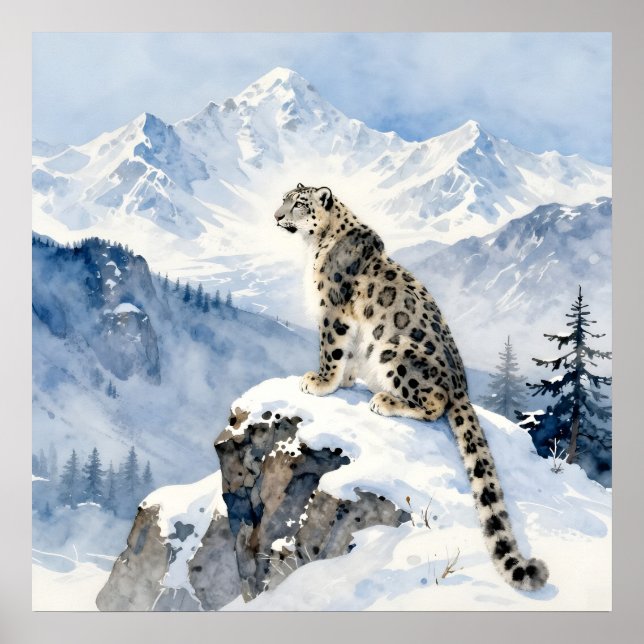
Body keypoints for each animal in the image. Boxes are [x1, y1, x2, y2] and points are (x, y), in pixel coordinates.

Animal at [274, 183, 549, 591]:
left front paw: (320, 381)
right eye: (284, 199)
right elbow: (347, 355)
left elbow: (331, 349)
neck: (315, 245)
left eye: (299, 203)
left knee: (434, 403)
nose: (276, 216)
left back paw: (385, 401)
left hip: (396, 352)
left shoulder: (333, 311)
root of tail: (462, 385)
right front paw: (344, 379)